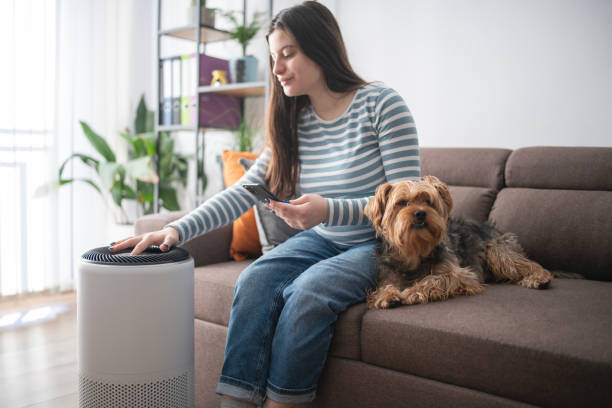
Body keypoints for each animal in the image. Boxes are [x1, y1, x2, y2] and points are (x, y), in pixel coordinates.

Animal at [366, 176, 552, 310]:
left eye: (428, 202)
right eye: (402, 203)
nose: (420, 213)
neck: (414, 249)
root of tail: (493, 228)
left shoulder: (460, 275)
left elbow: (434, 279)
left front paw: (412, 292)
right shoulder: (387, 273)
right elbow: (385, 285)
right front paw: (387, 296)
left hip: (496, 251)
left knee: (527, 264)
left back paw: (539, 278)